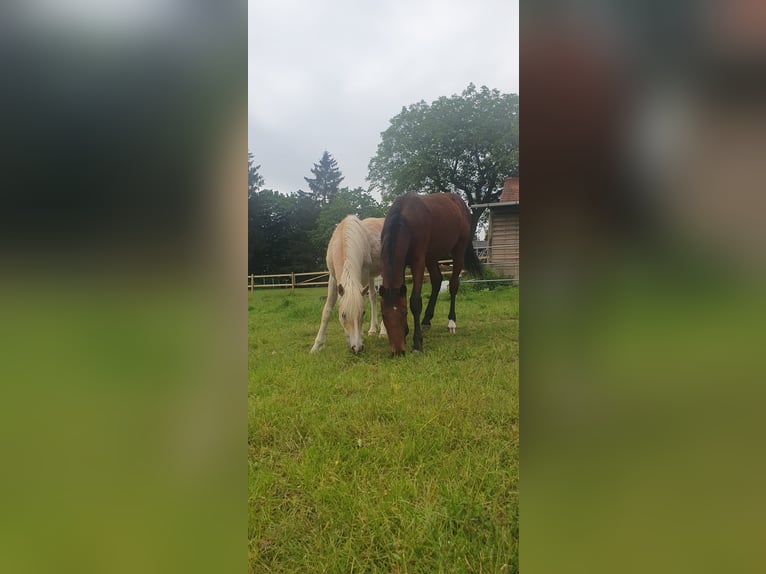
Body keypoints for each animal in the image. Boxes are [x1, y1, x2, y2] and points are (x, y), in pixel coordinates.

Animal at [308, 214, 388, 354]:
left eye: (363, 313)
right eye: (343, 315)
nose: (357, 348)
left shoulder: (362, 276)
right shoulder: (333, 278)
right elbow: (327, 311)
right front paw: (316, 346)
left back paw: (383, 332)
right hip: (373, 276)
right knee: (373, 297)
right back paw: (372, 330)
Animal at [380, 194, 484, 356]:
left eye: (404, 313)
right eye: (384, 315)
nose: (398, 351)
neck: (405, 218)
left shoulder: (418, 262)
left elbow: (415, 301)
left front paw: (417, 343)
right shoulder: (403, 264)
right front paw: (407, 332)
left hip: (458, 252)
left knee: (453, 285)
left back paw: (451, 322)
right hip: (432, 256)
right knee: (437, 280)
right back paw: (426, 321)